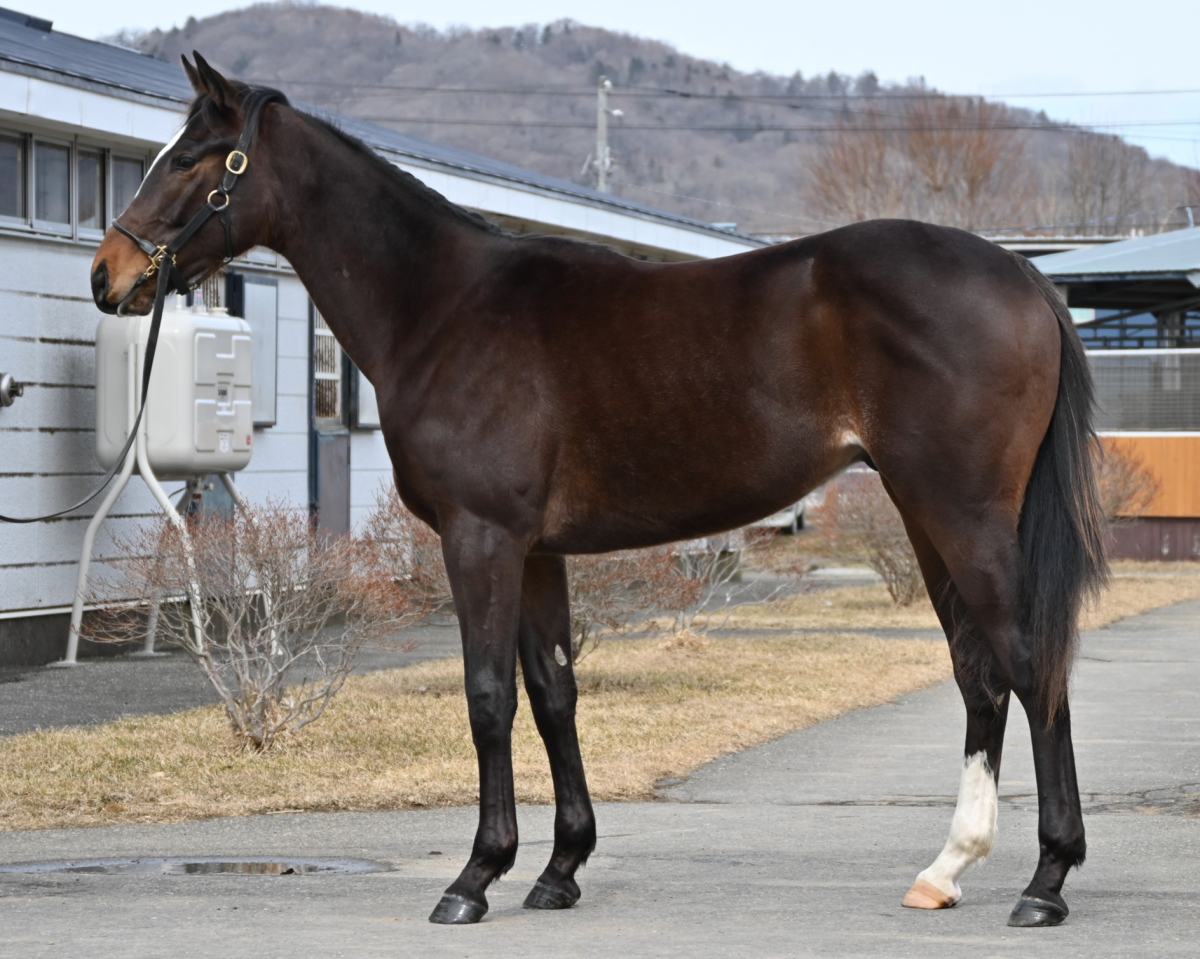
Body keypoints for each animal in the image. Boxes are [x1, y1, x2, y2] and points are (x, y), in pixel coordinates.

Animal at [90, 54, 1108, 929]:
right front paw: (559, 867)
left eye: (190, 158)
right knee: (980, 673)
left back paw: (1046, 879)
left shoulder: (480, 537)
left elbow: (488, 695)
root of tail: (1023, 274)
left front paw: (475, 875)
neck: (446, 308)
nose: (109, 274)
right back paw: (946, 868)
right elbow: (553, 692)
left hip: (963, 513)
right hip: (928, 515)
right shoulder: (537, 549)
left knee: (1029, 664)